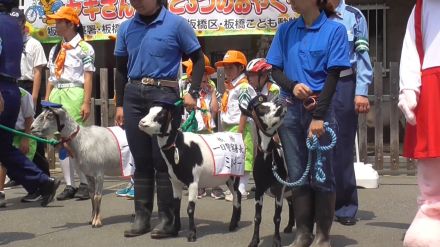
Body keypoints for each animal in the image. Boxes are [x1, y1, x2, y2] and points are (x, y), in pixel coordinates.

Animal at [138, 102, 242, 241]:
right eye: (149, 111)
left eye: (161, 114)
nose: (142, 122)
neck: (179, 145)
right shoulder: (175, 182)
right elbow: (176, 207)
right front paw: (175, 230)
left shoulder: (193, 182)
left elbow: (190, 209)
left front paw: (192, 234)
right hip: (228, 178)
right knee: (239, 195)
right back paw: (236, 223)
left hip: (235, 175)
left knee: (237, 196)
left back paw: (232, 225)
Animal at [241, 95, 292, 247]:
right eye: (261, 108)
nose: (281, 104)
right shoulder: (259, 190)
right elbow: (257, 217)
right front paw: (254, 241)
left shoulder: (279, 189)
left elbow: (277, 217)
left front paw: (277, 241)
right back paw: (289, 227)